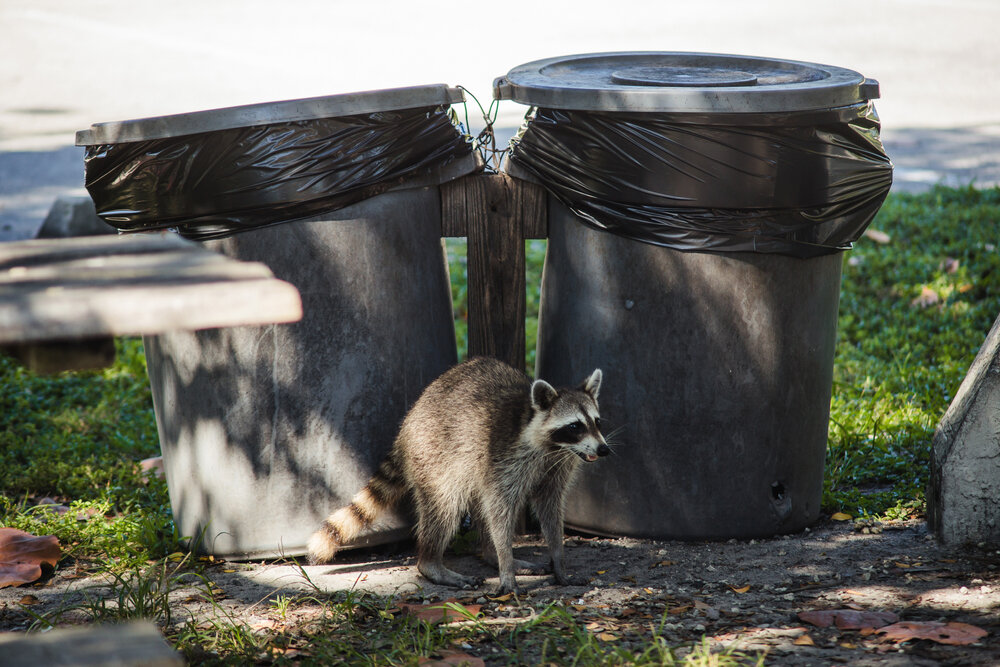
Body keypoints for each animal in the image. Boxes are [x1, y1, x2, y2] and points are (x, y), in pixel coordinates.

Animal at [307, 356, 609, 594]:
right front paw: (506, 565)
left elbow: (549, 507)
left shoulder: (556, 467)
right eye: (575, 426)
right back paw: (433, 563)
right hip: (435, 457)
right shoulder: (504, 458)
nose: (604, 449)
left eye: (596, 422)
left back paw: (489, 555)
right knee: (445, 508)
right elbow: (500, 511)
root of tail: (406, 429)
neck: (550, 445)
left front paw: (558, 560)